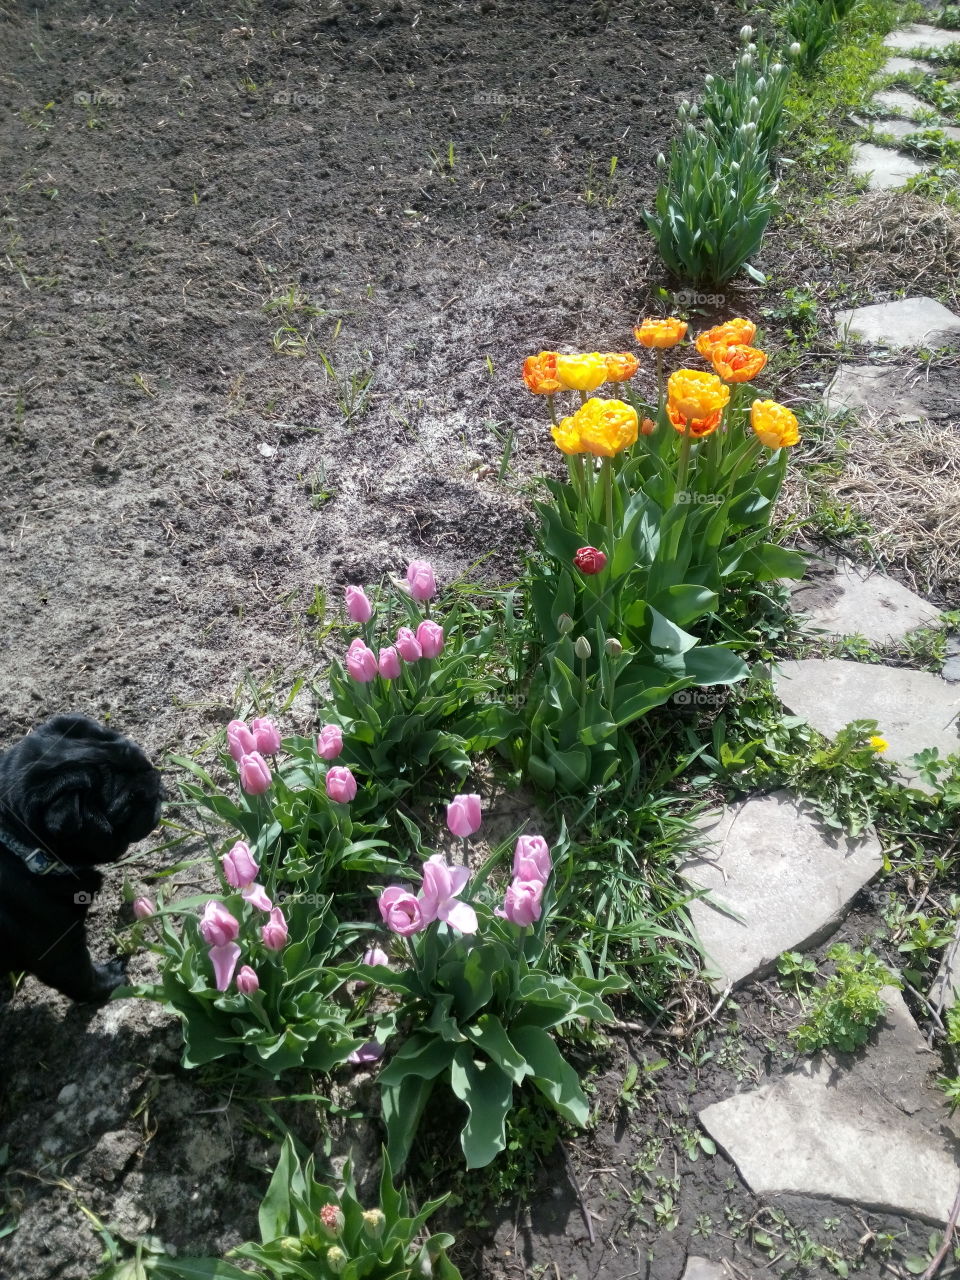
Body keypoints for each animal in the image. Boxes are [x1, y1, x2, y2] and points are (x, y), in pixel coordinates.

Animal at [0, 716, 162, 1003]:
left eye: (142, 760)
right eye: (128, 804)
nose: (155, 780)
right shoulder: (57, 945)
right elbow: (83, 978)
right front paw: (112, 980)